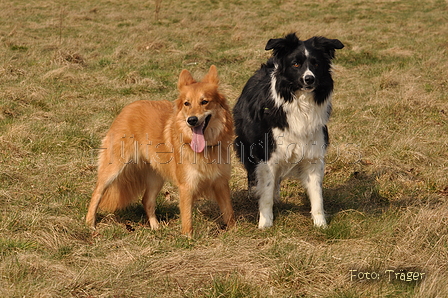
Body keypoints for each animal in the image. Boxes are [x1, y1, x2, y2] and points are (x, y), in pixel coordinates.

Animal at [85, 65, 236, 235]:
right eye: (187, 103)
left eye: (204, 102)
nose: (191, 120)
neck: (206, 148)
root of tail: (128, 108)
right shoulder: (186, 186)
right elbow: (187, 219)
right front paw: (188, 237)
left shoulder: (221, 182)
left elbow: (229, 212)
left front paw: (234, 231)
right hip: (114, 168)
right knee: (97, 192)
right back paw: (90, 223)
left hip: (156, 176)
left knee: (147, 200)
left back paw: (155, 227)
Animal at [233, 33, 344, 228]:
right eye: (296, 64)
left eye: (316, 64)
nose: (309, 79)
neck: (301, 103)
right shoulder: (268, 155)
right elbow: (266, 191)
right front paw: (265, 223)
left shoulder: (313, 155)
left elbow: (317, 194)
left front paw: (320, 223)